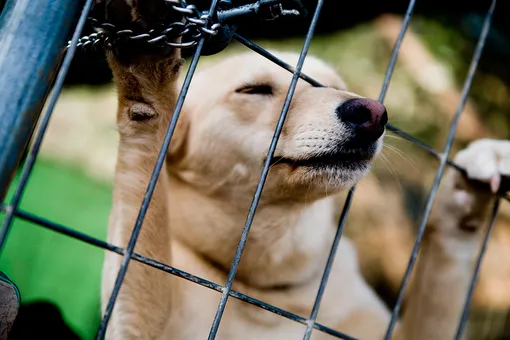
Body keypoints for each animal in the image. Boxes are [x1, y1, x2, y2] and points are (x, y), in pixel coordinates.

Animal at [98, 1, 510, 338]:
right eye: (254, 90)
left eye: (332, 85)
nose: (373, 115)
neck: (270, 286)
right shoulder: (137, 322)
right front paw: (145, 73)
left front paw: (466, 195)